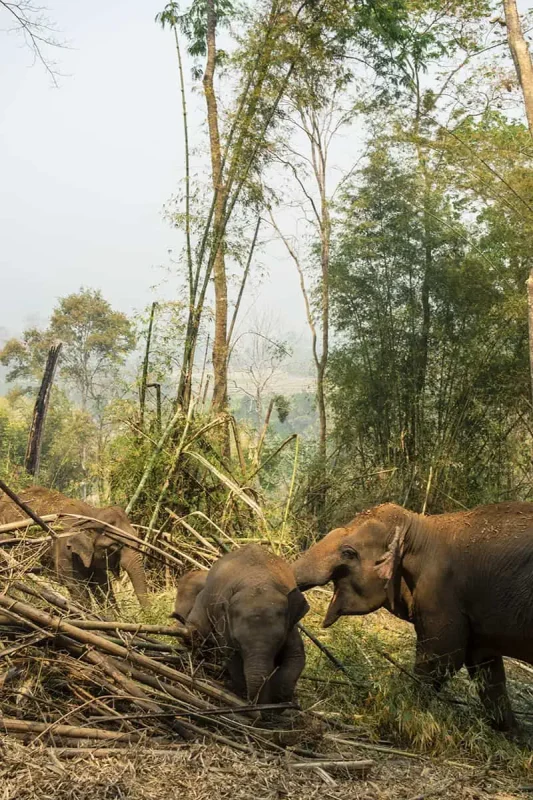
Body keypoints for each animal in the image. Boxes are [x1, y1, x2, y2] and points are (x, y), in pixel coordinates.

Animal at [171, 544, 310, 706]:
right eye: (237, 641)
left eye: (279, 641)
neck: (259, 582)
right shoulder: (225, 625)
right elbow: (233, 658)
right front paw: (242, 694)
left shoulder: (291, 627)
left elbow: (297, 656)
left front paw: (280, 699)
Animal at [293, 500, 533, 732]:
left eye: (348, 553)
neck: (419, 527)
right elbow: (485, 667)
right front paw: (512, 733)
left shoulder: (441, 593)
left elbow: (444, 656)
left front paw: (404, 712)